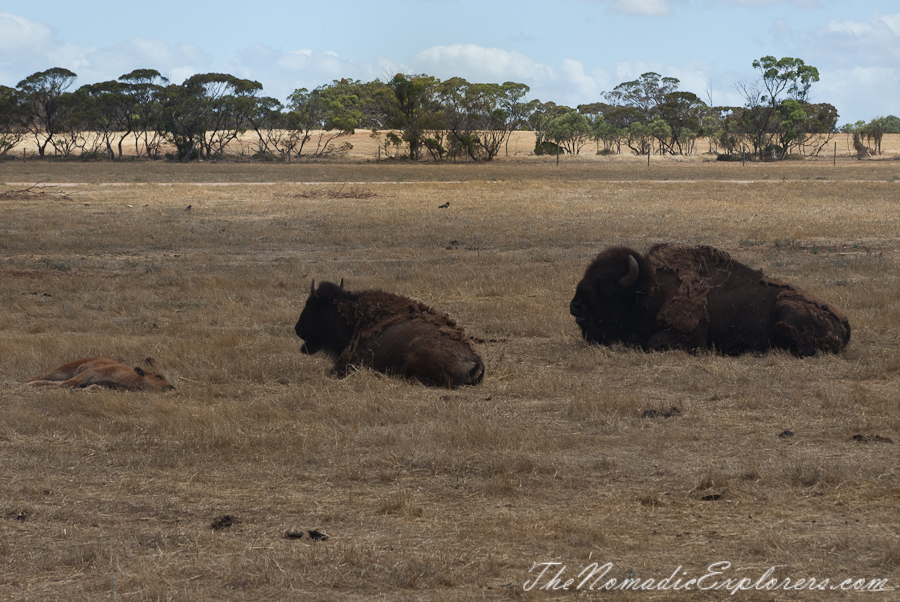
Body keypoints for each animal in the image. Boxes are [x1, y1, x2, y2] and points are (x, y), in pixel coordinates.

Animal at [568, 244, 852, 356]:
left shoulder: (690, 337)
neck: (651, 293)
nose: (574, 307)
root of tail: (846, 323)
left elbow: (653, 343)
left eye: (606, 288)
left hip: (786, 312)